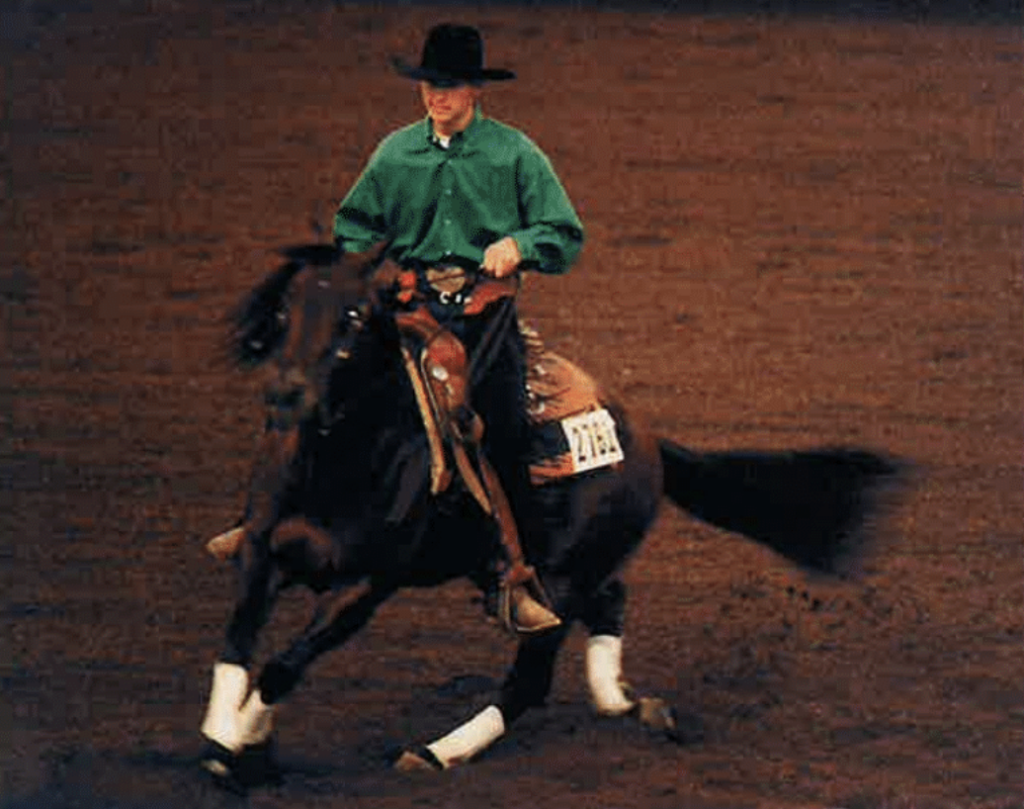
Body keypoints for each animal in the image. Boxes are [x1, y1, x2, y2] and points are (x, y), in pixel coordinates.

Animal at [197, 243, 897, 790]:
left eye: (352, 317)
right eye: (283, 312)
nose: (286, 394)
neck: (342, 463)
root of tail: (649, 441)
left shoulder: (367, 585)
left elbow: (282, 666)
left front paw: (241, 749)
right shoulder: (261, 548)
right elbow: (240, 641)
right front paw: (225, 738)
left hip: (560, 576)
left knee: (531, 678)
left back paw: (437, 753)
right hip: (535, 570)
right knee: (609, 600)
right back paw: (625, 702)